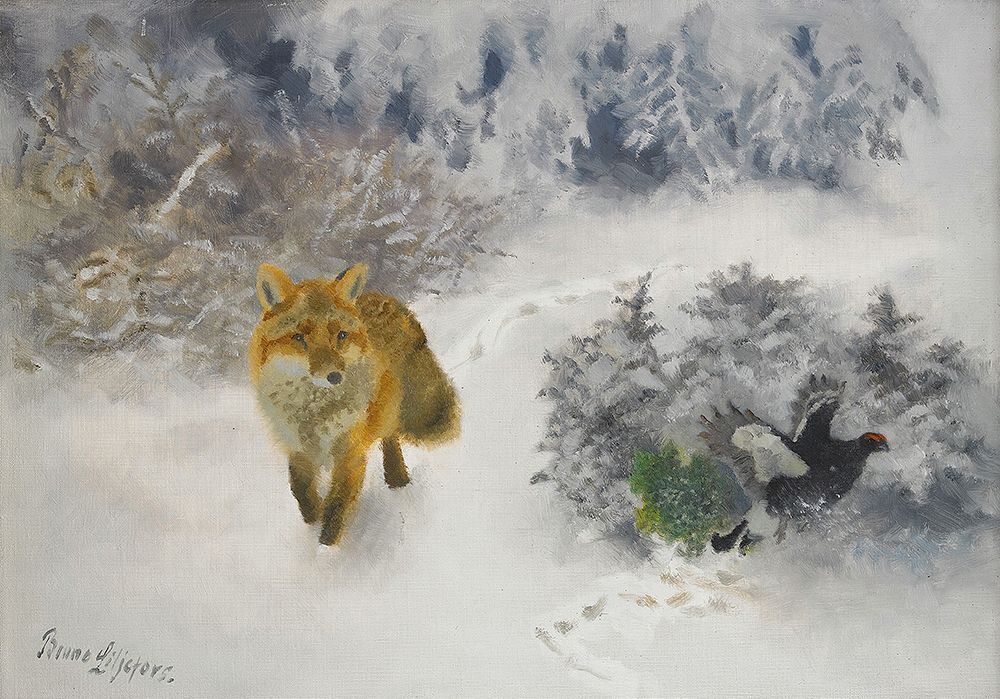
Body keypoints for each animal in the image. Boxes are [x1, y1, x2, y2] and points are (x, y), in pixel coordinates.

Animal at [248, 262, 460, 545]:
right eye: (299, 338)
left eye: (341, 335)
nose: (335, 376)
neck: (315, 417)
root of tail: (388, 299)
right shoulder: (297, 449)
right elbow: (302, 493)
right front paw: (313, 521)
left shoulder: (350, 454)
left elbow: (336, 508)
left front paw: (325, 551)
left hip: (384, 411)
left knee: (390, 436)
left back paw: (397, 478)